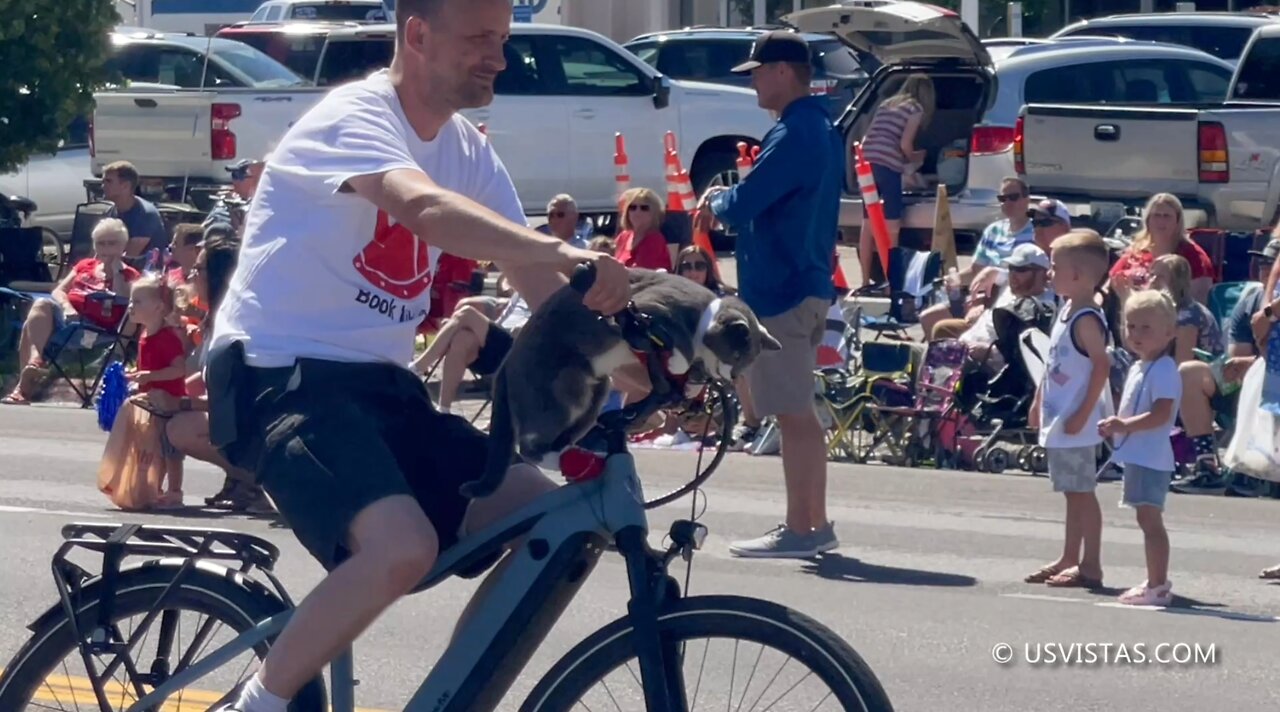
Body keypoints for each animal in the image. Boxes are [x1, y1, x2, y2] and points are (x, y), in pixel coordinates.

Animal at [463, 266, 778, 494]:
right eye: (737, 358)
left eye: (745, 364)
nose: (732, 377)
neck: (704, 314)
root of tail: (506, 365)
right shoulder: (654, 305)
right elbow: (673, 340)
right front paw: (679, 362)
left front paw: (686, 385)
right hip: (560, 386)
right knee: (529, 446)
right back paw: (564, 458)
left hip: (596, 393)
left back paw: (576, 453)